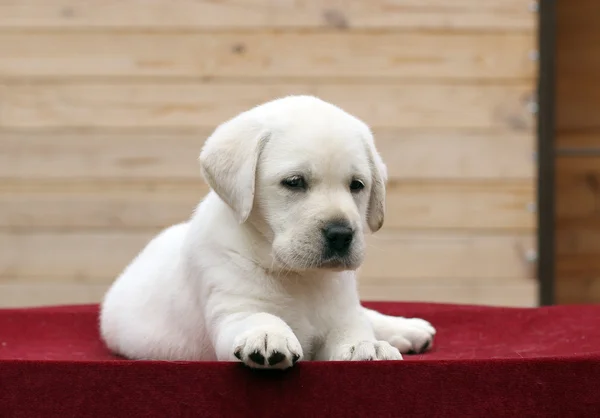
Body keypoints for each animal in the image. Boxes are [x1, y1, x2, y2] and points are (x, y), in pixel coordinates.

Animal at [99, 95, 436, 370]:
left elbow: (353, 329)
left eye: (357, 185)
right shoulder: (233, 307)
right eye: (295, 182)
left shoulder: (341, 314)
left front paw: (368, 346)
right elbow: (259, 316)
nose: (341, 234)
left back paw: (407, 329)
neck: (300, 277)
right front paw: (267, 335)